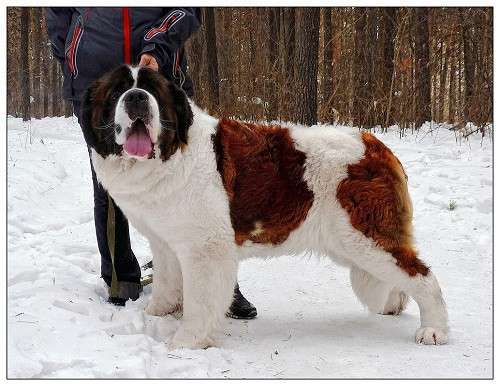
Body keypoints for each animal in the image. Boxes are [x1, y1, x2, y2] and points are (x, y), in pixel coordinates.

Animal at [82, 65, 450, 350]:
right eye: (117, 92)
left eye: (152, 92)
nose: (136, 97)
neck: (173, 154)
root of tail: (376, 145)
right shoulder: (166, 242)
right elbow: (166, 282)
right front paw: (155, 316)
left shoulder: (205, 249)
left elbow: (200, 300)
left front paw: (186, 342)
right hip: (350, 243)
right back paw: (394, 304)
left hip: (363, 237)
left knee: (423, 276)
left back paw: (434, 330)